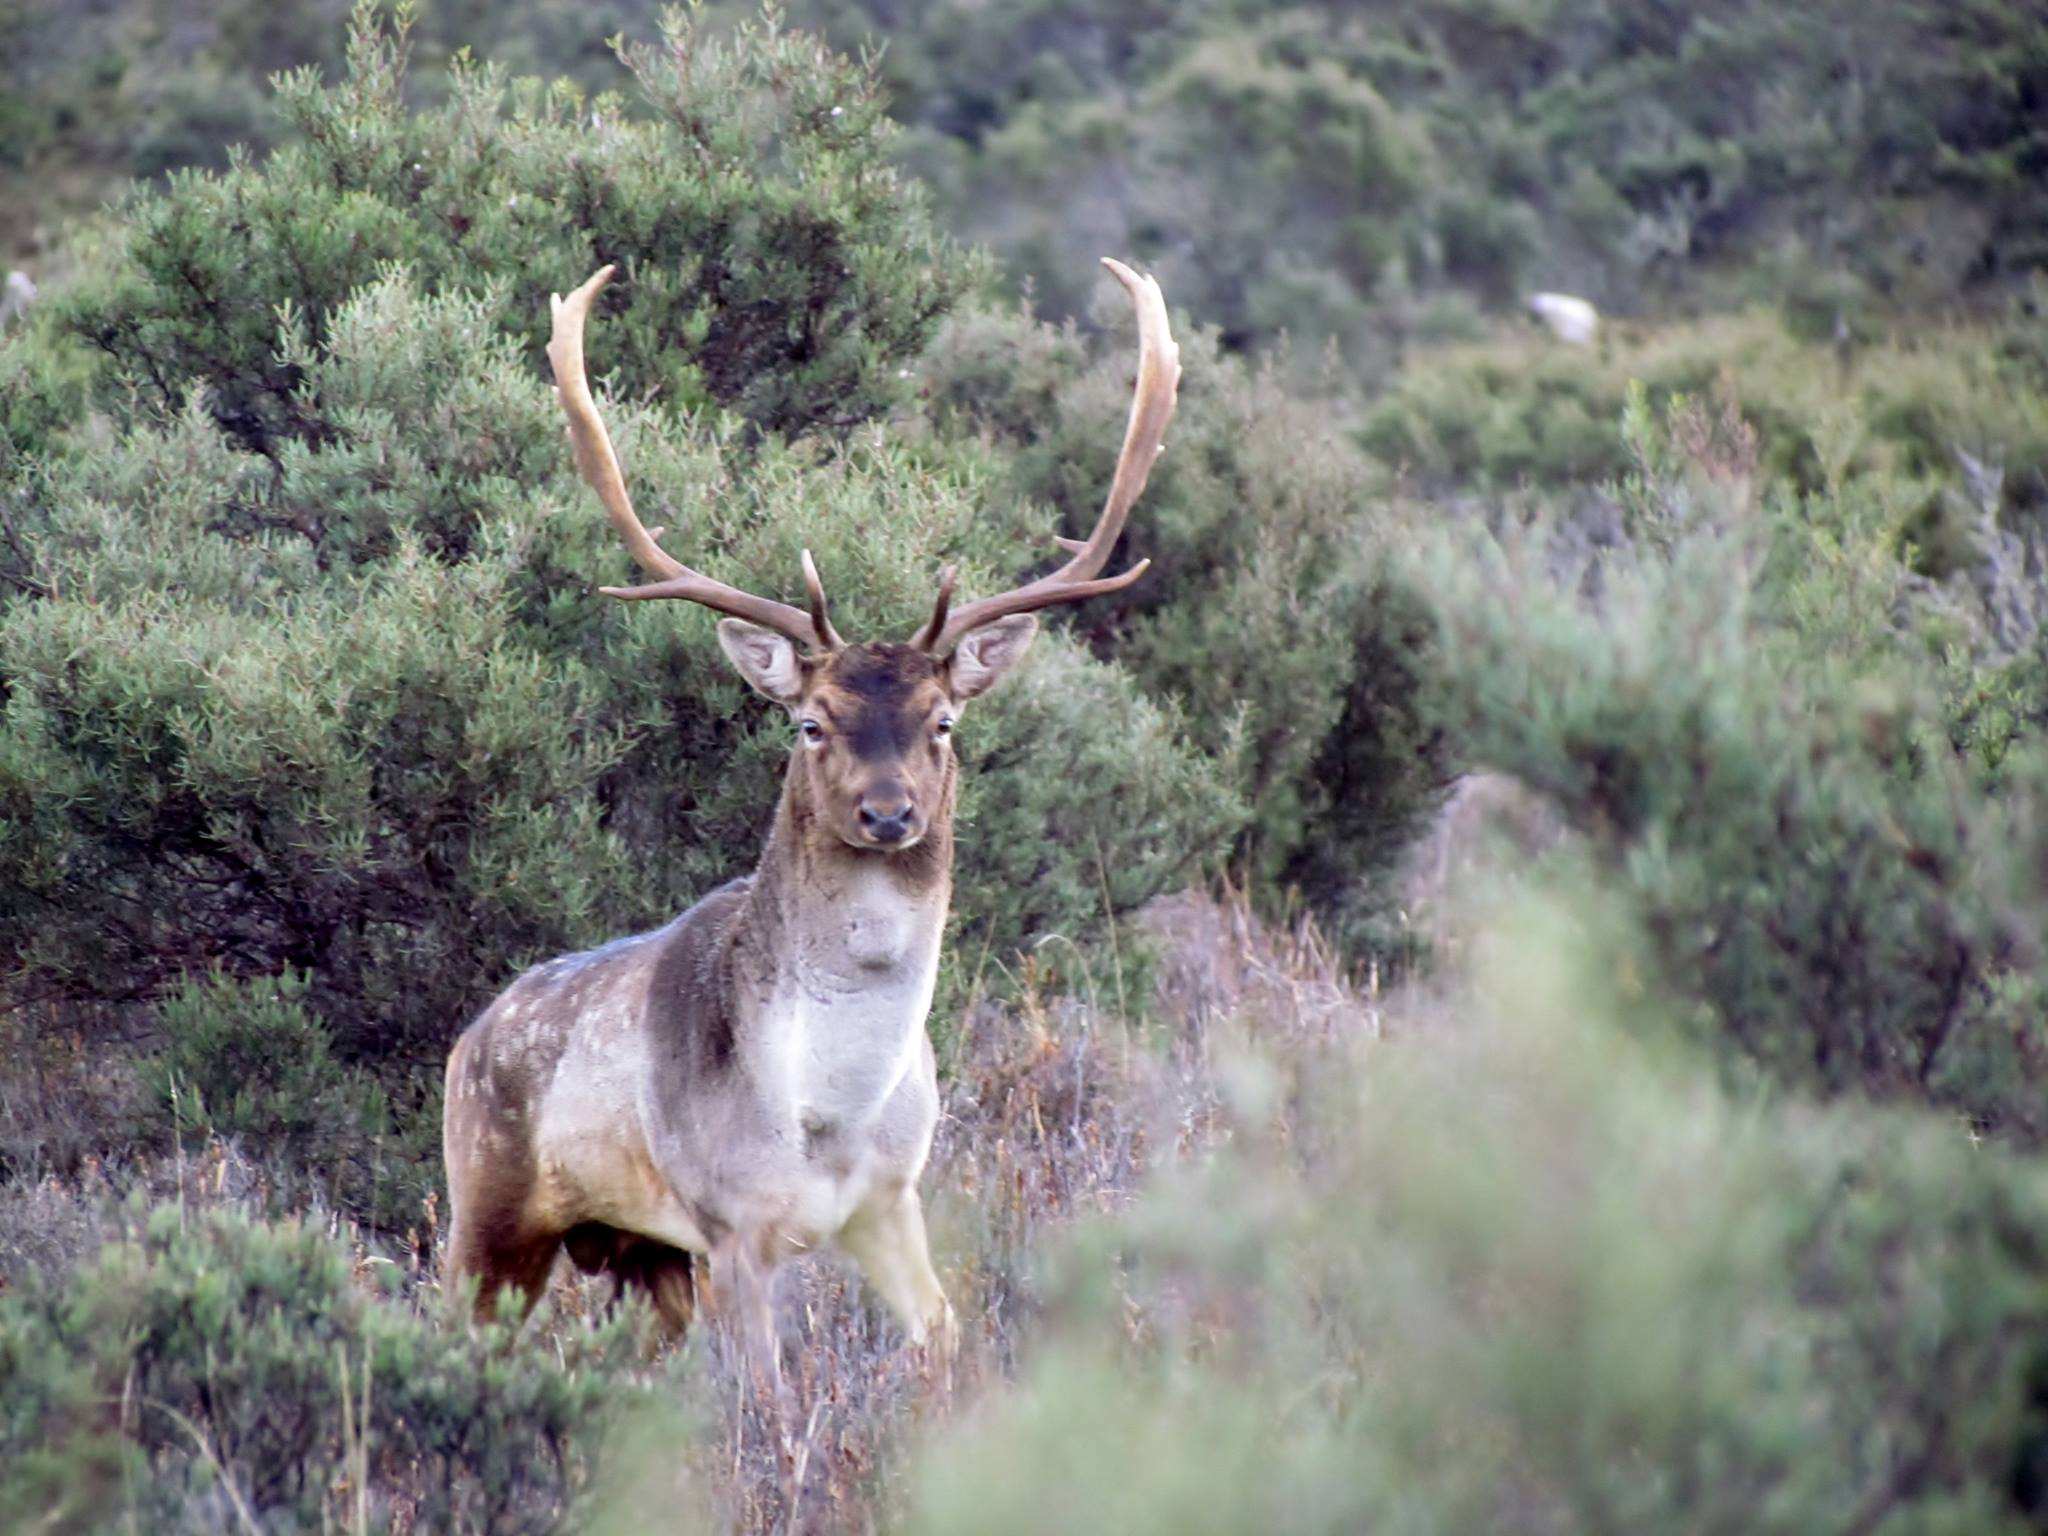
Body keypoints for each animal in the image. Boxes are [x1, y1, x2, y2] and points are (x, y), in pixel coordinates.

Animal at [441, 258, 1179, 1370]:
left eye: (944, 720)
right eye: (811, 723)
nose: (887, 812)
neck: (825, 1115)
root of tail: (463, 1041)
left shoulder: (892, 1199)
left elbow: (945, 1342)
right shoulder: (732, 1222)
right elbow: (767, 1392)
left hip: (637, 1250)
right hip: (486, 1210)